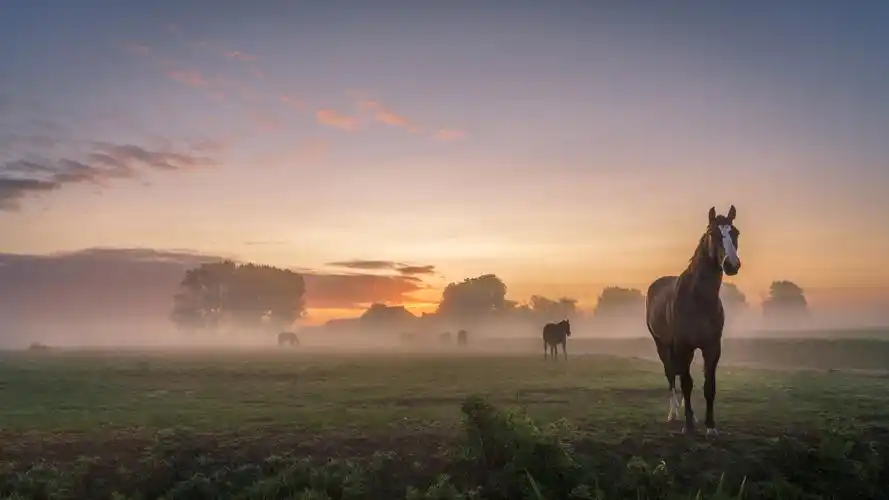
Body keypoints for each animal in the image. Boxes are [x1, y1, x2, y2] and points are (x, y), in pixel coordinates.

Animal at [645, 205, 741, 436]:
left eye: (735, 232)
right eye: (713, 234)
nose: (731, 264)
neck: (698, 299)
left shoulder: (712, 347)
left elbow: (709, 387)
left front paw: (710, 427)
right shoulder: (684, 346)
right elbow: (687, 383)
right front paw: (688, 426)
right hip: (662, 344)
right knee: (671, 375)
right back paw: (673, 414)